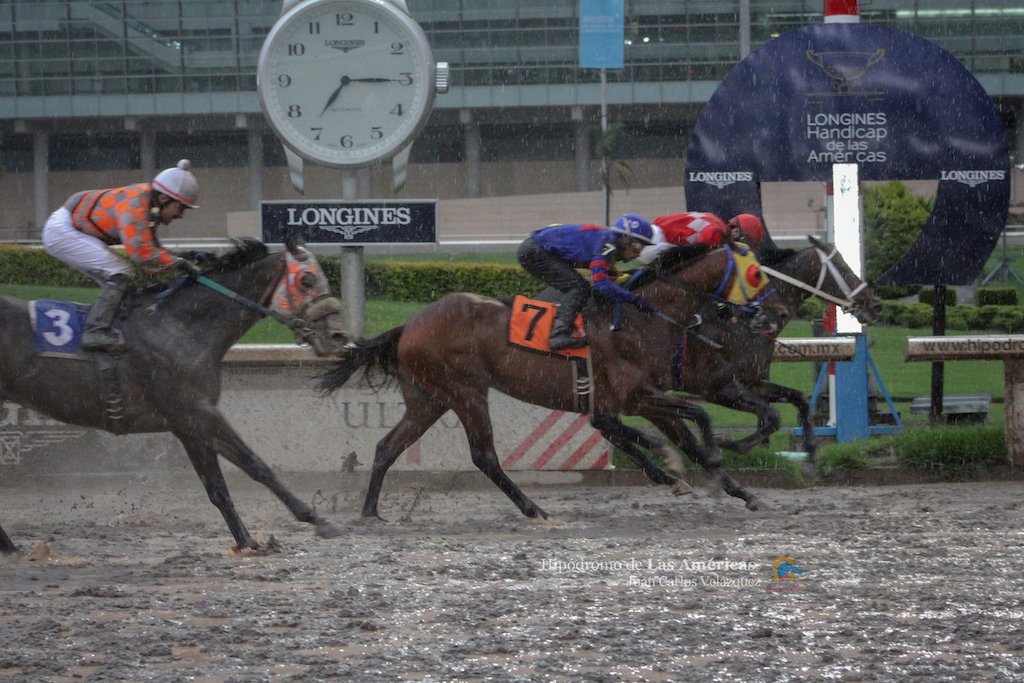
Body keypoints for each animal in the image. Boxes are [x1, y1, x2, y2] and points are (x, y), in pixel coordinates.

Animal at [0, 238, 351, 555]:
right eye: (307, 279)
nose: (337, 335)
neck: (181, 326)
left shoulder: (189, 424)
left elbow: (217, 489)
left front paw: (247, 542)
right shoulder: (195, 411)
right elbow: (256, 465)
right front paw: (318, 520)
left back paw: (10, 547)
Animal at [317, 244, 790, 520]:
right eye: (757, 275)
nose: (778, 314)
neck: (643, 315)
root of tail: (409, 325)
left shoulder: (646, 398)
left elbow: (687, 435)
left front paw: (741, 491)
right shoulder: (636, 395)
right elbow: (698, 421)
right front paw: (715, 455)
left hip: (428, 398)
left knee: (388, 445)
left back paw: (370, 513)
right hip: (465, 392)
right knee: (484, 456)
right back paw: (534, 509)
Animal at [590, 235, 883, 475]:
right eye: (843, 268)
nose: (875, 305)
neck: (742, 322)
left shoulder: (752, 381)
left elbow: (796, 400)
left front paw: (810, 457)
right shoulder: (717, 387)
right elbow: (771, 416)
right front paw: (729, 443)